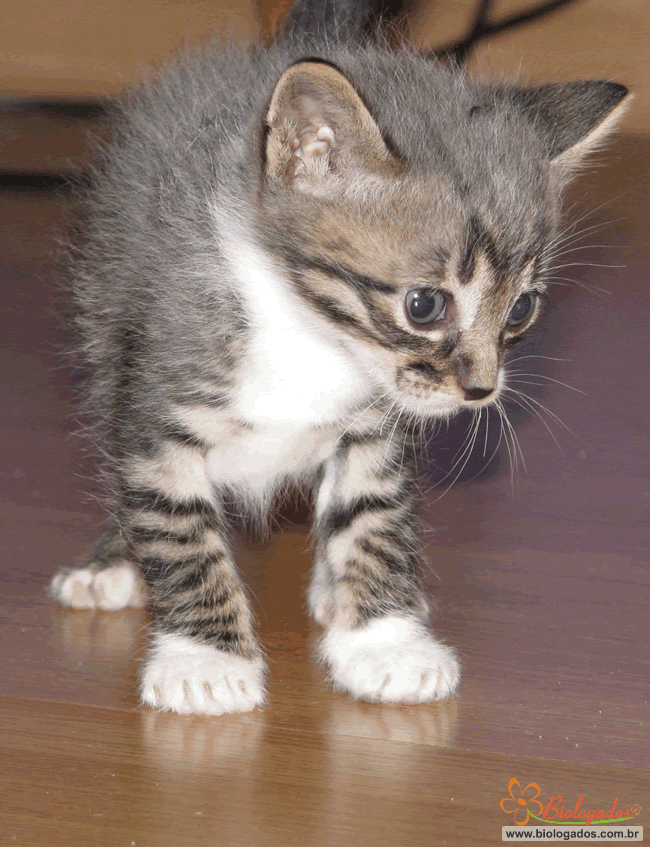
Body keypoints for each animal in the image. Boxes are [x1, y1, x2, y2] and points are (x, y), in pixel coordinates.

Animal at [49, 0, 630, 714]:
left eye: (521, 309)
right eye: (425, 306)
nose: (482, 390)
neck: (310, 333)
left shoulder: (374, 430)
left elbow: (372, 521)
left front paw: (384, 641)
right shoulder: (160, 405)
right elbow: (180, 530)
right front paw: (206, 659)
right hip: (105, 328)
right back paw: (111, 563)